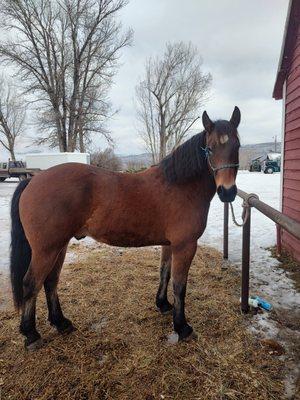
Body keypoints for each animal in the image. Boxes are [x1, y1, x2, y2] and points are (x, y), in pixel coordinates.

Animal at [9, 107, 241, 350]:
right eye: (210, 148)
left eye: (237, 146)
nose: (227, 192)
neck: (180, 186)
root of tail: (34, 180)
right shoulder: (185, 246)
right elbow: (180, 285)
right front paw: (182, 327)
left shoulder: (170, 245)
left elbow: (164, 273)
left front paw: (163, 304)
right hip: (46, 249)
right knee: (31, 284)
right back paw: (31, 334)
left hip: (59, 246)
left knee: (50, 281)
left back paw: (61, 323)